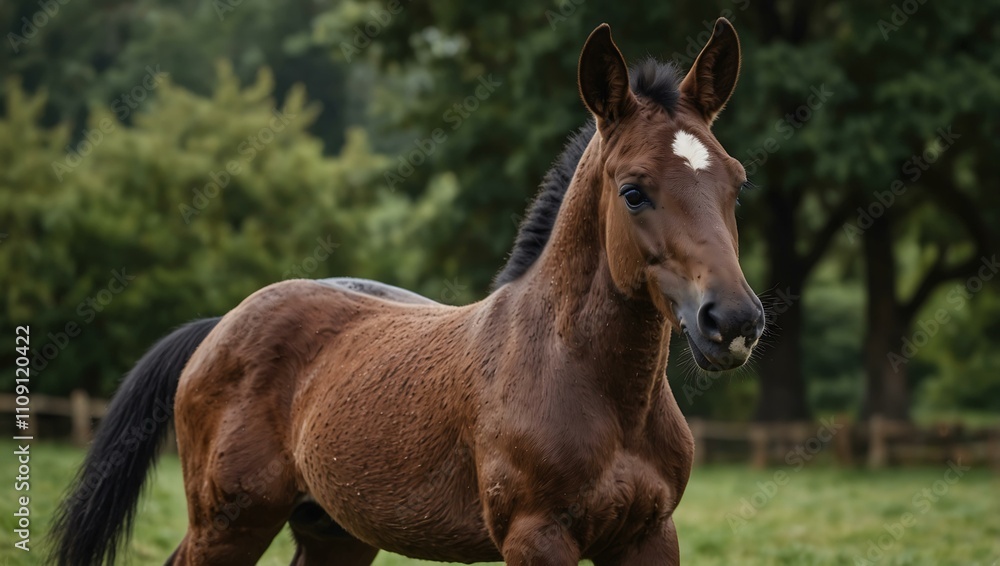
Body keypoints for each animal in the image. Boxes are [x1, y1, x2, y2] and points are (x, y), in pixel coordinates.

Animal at [52, 19, 763, 566]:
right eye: (633, 191)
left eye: (736, 182)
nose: (731, 321)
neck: (588, 381)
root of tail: (219, 326)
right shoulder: (536, 537)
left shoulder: (649, 536)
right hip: (229, 524)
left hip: (332, 533)